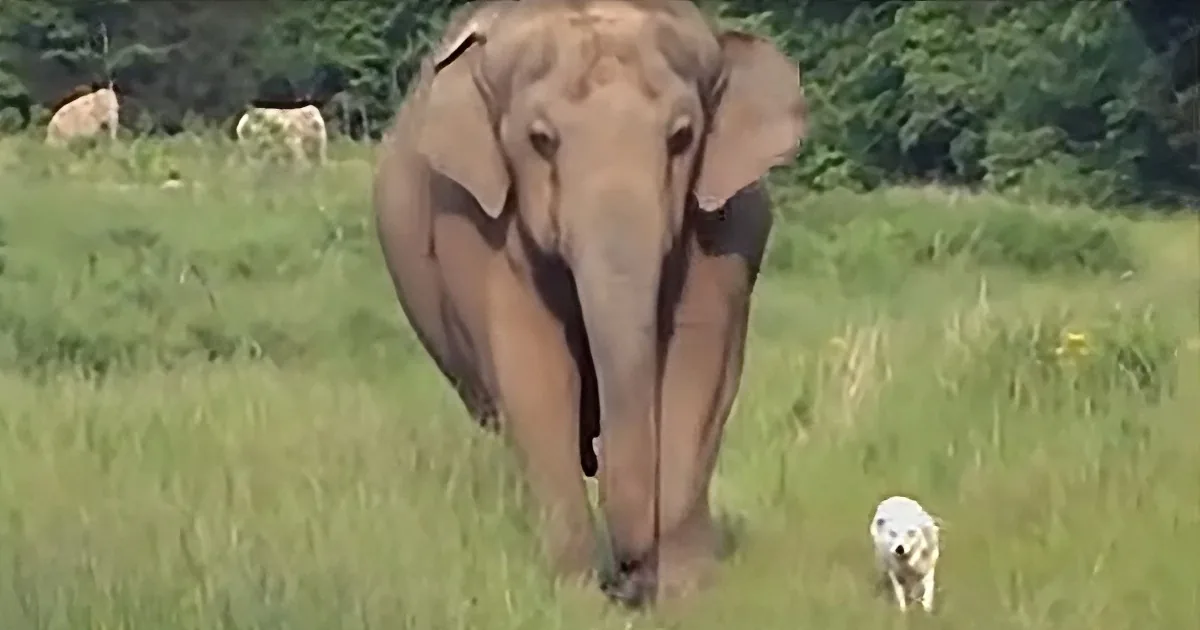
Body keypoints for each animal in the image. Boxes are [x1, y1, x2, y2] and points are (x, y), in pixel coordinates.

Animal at [373, 0, 807, 607]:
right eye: (541, 139)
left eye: (682, 137)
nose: (627, 576)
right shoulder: (473, 221)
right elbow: (534, 371)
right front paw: (572, 593)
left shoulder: (728, 223)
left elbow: (696, 364)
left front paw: (684, 592)